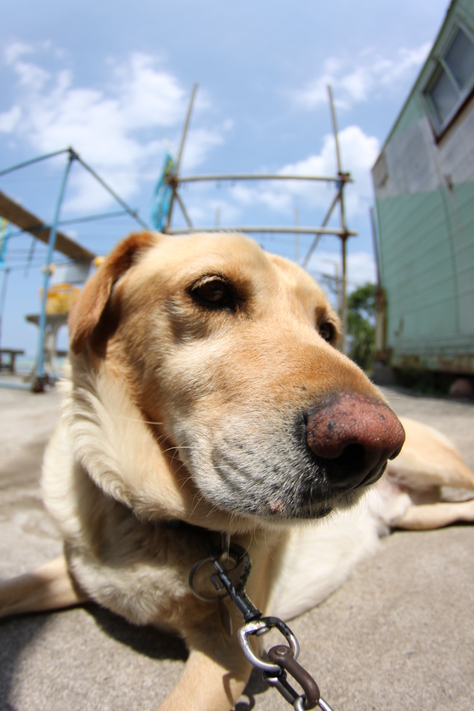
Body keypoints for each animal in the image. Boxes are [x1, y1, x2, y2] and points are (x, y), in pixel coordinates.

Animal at [2, 231, 474, 708]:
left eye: (327, 331)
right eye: (213, 291)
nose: (373, 450)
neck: (152, 518)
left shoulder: (228, 653)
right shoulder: (73, 574)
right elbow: (11, 588)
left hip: (434, 466)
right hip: (422, 515)